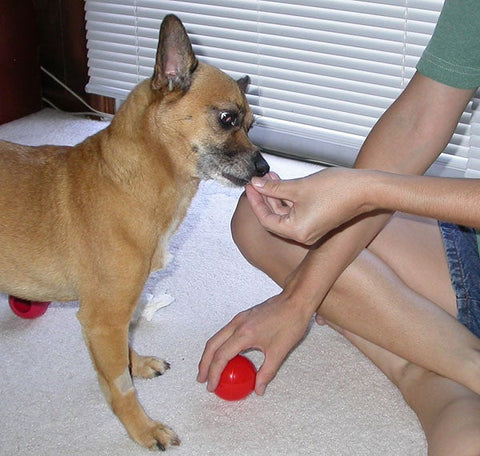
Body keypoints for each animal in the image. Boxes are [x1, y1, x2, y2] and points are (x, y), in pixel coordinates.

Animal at [0, 13, 266, 448]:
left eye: (252, 124)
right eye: (228, 119)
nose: (265, 169)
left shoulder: (119, 317)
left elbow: (124, 351)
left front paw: (136, 363)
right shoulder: (103, 319)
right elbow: (119, 387)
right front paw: (143, 428)